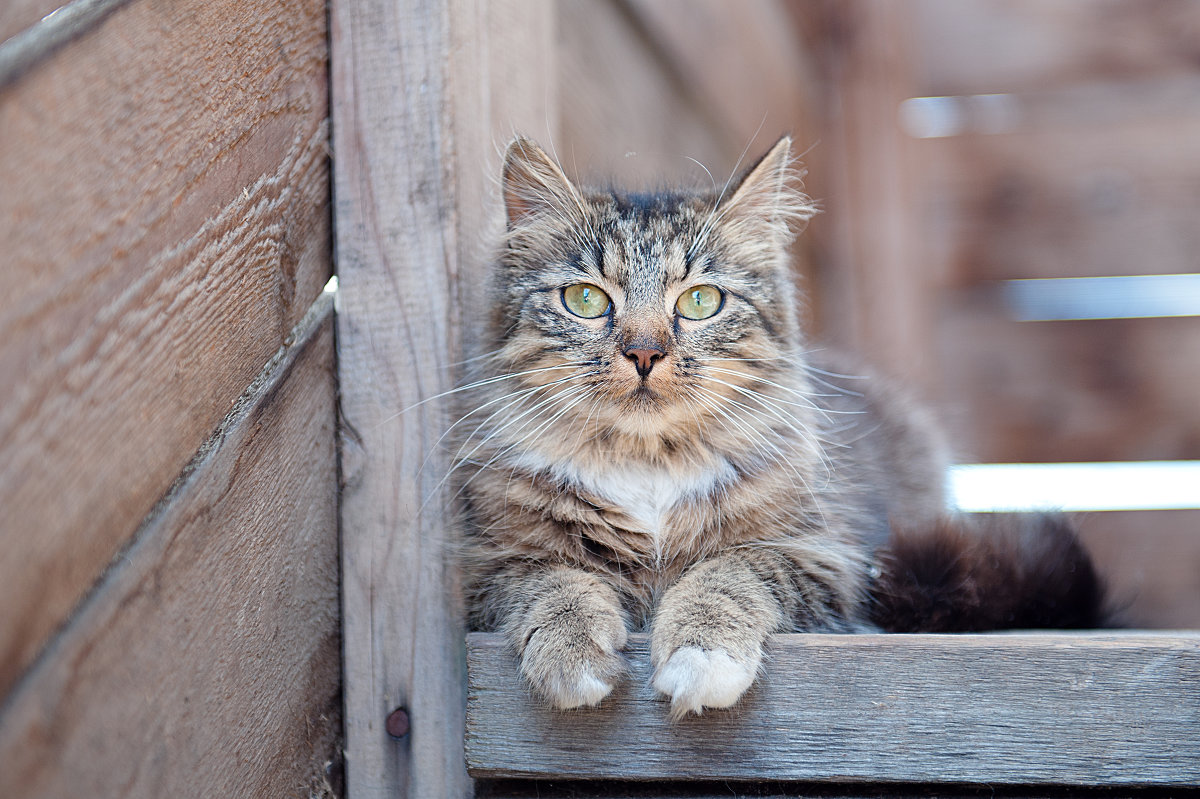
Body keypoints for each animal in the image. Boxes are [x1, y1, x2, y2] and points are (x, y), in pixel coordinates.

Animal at [451, 133, 1104, 719]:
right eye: (585, 300)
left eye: (699, 302)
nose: (644, 352)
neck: (648, 464)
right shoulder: (486, 567)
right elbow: (553, 583)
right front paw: (573, 657)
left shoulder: (823, 558)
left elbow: (728, 574)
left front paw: (700, 657)